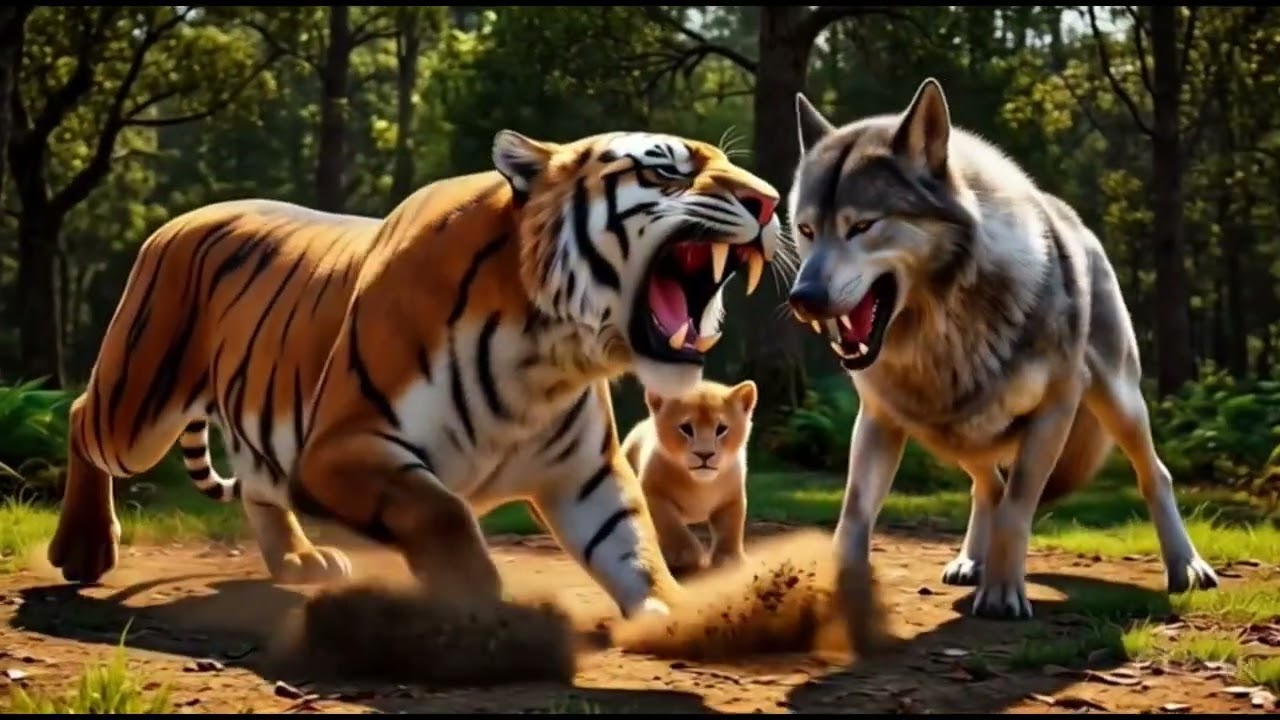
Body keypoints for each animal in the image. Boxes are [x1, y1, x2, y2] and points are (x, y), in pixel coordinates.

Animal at [782, 78, 1218, 619]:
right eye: (806, 230)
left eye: (861, 226)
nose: (803, 298)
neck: (945, 329)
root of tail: (1075, 221)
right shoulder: (879, 421)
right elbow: (854, 516)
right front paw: (842, 593)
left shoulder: (1054, 411)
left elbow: (1017, 509)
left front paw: (1003, 594)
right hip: (951, 434)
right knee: (985, 485)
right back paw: (970, 561)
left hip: (1119, 404)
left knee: (1154, 474)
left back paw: (1187, 567)